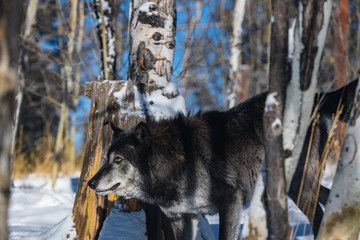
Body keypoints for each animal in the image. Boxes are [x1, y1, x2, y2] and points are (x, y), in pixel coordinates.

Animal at [87, 80, 358, 238]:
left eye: (119, 160)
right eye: (107, 158)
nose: (90, 183)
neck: (172, 162)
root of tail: (316, 96)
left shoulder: (231, 199)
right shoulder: (180, 217)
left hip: (298, 186)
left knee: (320, 216)